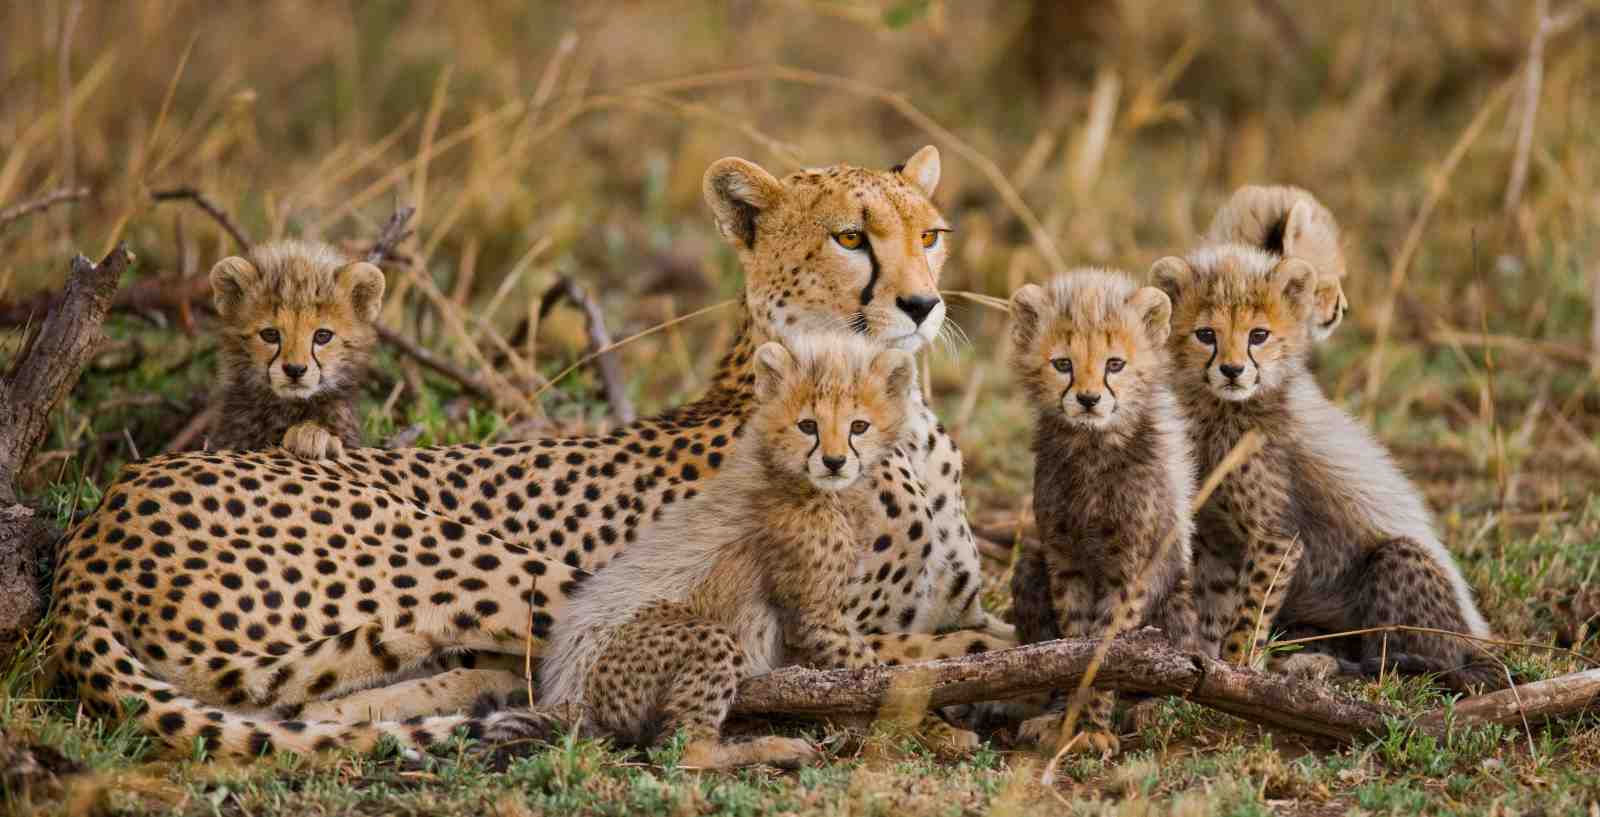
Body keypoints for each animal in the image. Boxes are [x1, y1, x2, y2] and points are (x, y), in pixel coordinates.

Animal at [540, 334, 920, 769]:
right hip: (699, 638)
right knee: (684, 749)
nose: (834, 461)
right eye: (808, 426)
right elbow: (871, 669)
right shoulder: (815, 614)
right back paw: (771, 748)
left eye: (859, 426)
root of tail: (568, 695)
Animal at [1004, 270, 1199, 756]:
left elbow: (1107, 649)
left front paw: (1092, 725)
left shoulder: (1129, 570)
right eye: (1062, 364)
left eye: (1114, 364)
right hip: (1030, 567)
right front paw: (1069, 721)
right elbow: (1072, 644)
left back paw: (1152, 708)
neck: (1092, 448)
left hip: (1178, 600)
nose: (1089, 400)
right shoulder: (1064, 560)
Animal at [1151, 244, 1497, 690]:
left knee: (1407, 661)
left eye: (1258, 335)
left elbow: (1250, 613)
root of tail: (1478, 638)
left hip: (1400, 566)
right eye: (1206, 334)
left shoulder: (1278, 538)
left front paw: (1238, 667)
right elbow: (1215, 606)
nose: (1232, 370)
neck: (1223, 411)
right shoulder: (1217, 538)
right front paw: (1207, 665)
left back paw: (1325, 665)